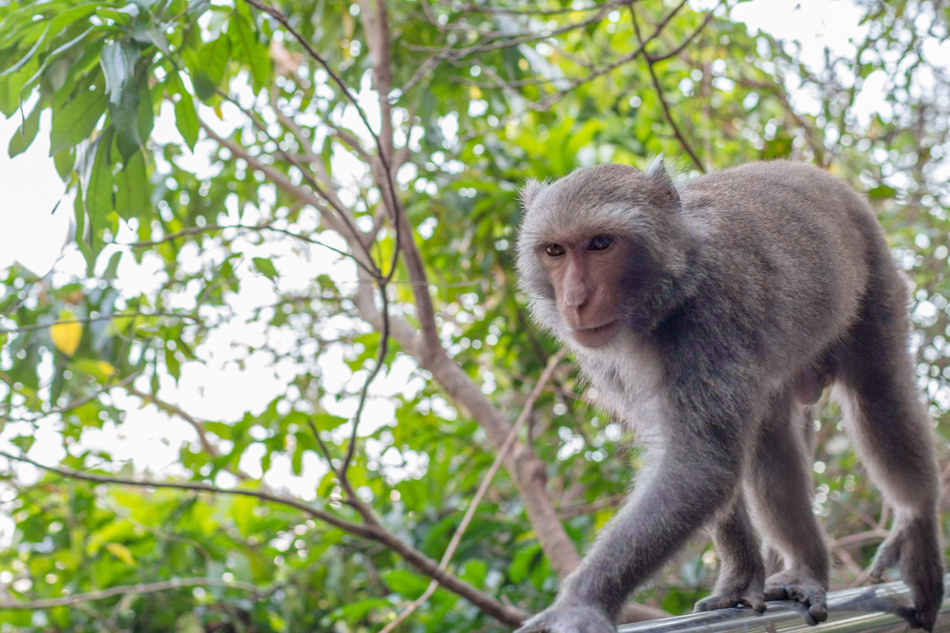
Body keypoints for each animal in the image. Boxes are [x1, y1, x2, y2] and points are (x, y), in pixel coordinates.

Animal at [512, 159, 944, 632]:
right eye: (555, 250)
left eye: (600, 244)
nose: (574, 301)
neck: (671, 290)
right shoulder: (606, 362)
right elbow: (705, 460)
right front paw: (739, 580)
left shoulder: (712, 317)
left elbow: (700, 462)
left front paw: (580, 605)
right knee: (772, 433)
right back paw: (807, 567)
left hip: (876, 277)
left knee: (879, 395)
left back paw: (915, 523)